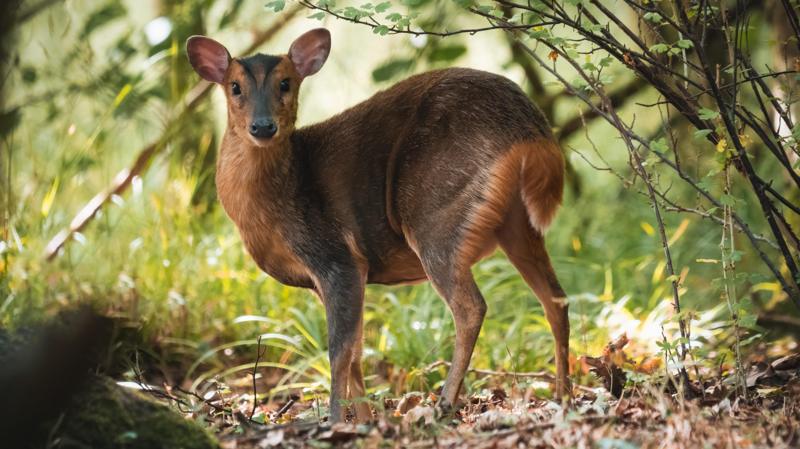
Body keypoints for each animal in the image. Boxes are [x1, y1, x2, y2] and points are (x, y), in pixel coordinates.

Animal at [186, 28, 570, 423]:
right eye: (234, 86)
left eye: (285, 83)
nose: (263, 126)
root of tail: (531, 130)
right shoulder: (338, 274)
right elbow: (357, 349)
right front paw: (367, 420)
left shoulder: (335, 256)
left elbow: (339, 350)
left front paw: (337, 420)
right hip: (517, 223)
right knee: (556, 299)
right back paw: (563, 397)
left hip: (435, 211)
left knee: (471, 307)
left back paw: (444, 405)